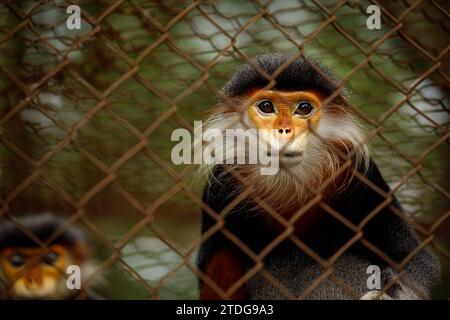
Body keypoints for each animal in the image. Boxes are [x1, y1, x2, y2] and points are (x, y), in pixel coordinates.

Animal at [196, 52, 440, 300]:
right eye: (266, 106)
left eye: (304, 108)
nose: (284, 131)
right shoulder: (221, 183)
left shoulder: (360, 173)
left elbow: (413, 260)